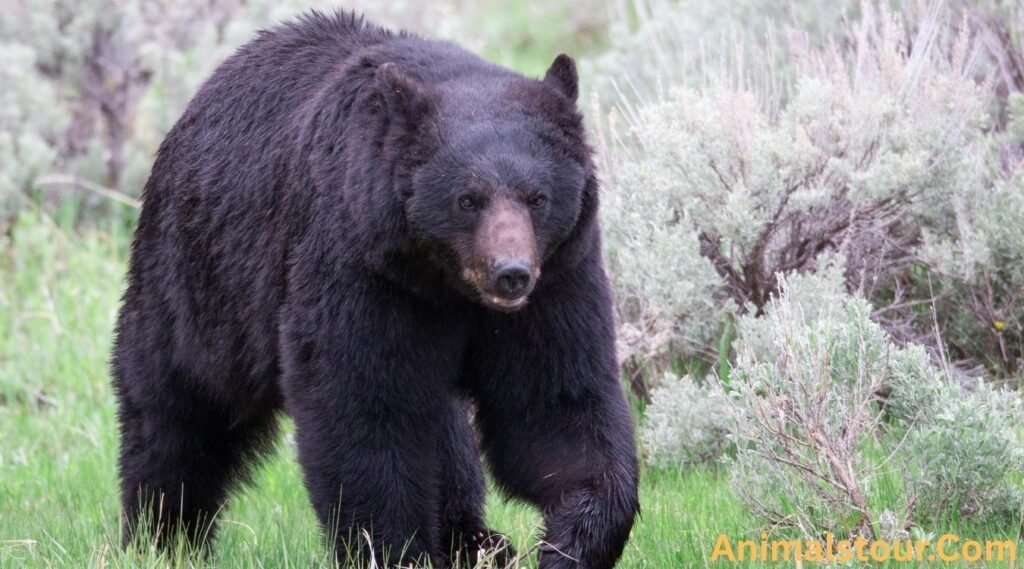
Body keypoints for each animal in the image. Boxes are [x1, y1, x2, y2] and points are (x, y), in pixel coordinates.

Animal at [111, 10, 639, 569]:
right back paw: (161, 535)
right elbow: (364, 408)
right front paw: (393, 549)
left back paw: (475, 540)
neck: (446, 285)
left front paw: (570, 543)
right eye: (467, 199)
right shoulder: (361, 268)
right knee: (176, 406)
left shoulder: (558, 279)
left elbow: (554, 404)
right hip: (200, 279)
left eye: (538, 197)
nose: (510, 273)